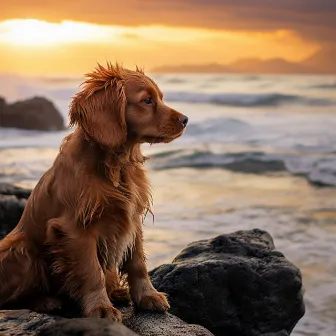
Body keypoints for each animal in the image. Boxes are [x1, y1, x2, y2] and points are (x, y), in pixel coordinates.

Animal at [0, 63, 188, 320]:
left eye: (159, 97)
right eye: (147, 100)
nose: (186, 119)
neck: (115, 166)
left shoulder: (132, 219)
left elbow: (137, 262)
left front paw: (147, 295)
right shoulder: (76, 229)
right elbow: (92, 271)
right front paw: (100, 308)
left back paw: (117, 292)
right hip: (20, 249)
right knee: (16, 296)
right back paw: (47, 301)